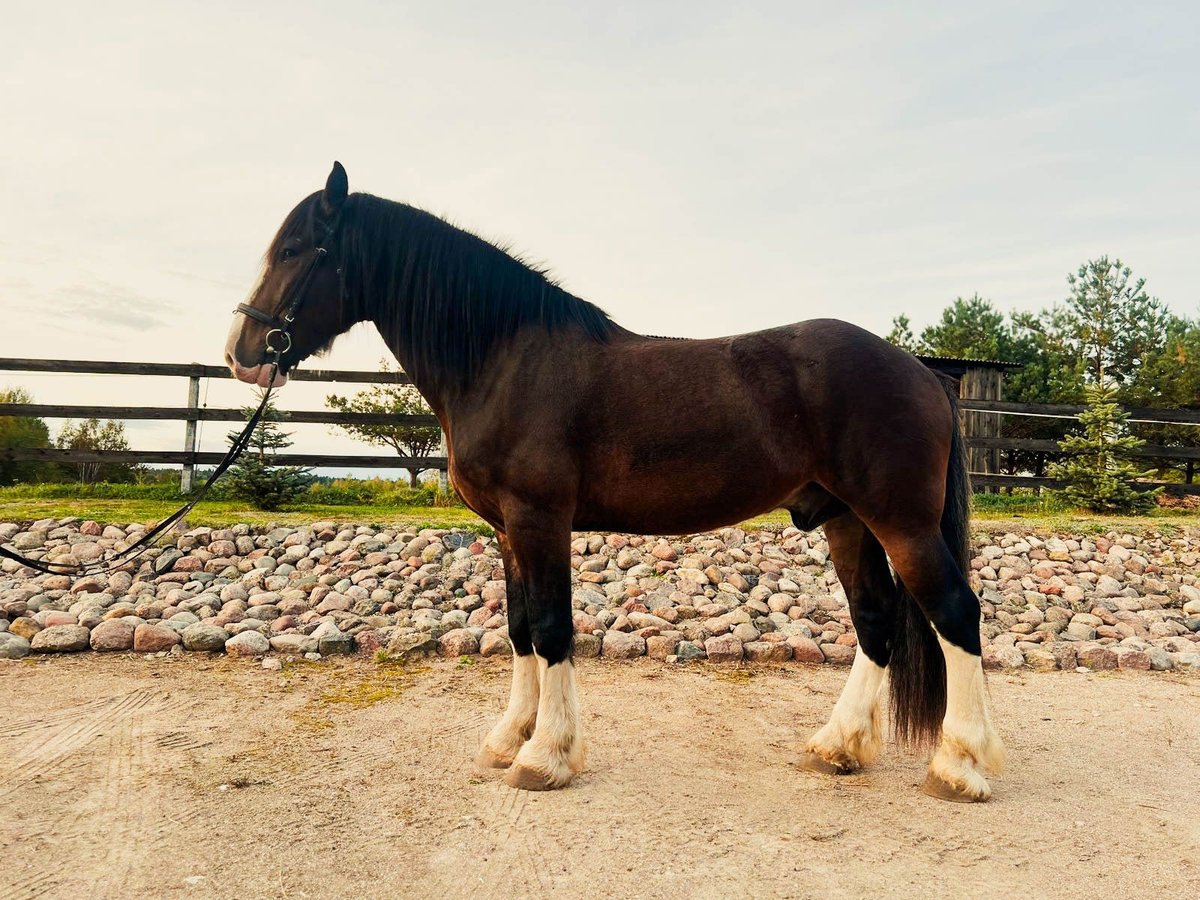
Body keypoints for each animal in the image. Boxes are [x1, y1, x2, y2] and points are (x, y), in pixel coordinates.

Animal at [223, 162, 1003, 801]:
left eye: (295, 250)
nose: (241, 353)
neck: (503, 361)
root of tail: (922, 370)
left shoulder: (539, 519)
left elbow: (551, 627)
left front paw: (545, 757)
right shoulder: (507, 530)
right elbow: (519, 629)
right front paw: (508, 739)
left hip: (901, 522)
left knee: (954, 613)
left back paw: (958, 766)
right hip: (845, 519)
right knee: (876, 621)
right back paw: (838, 747)